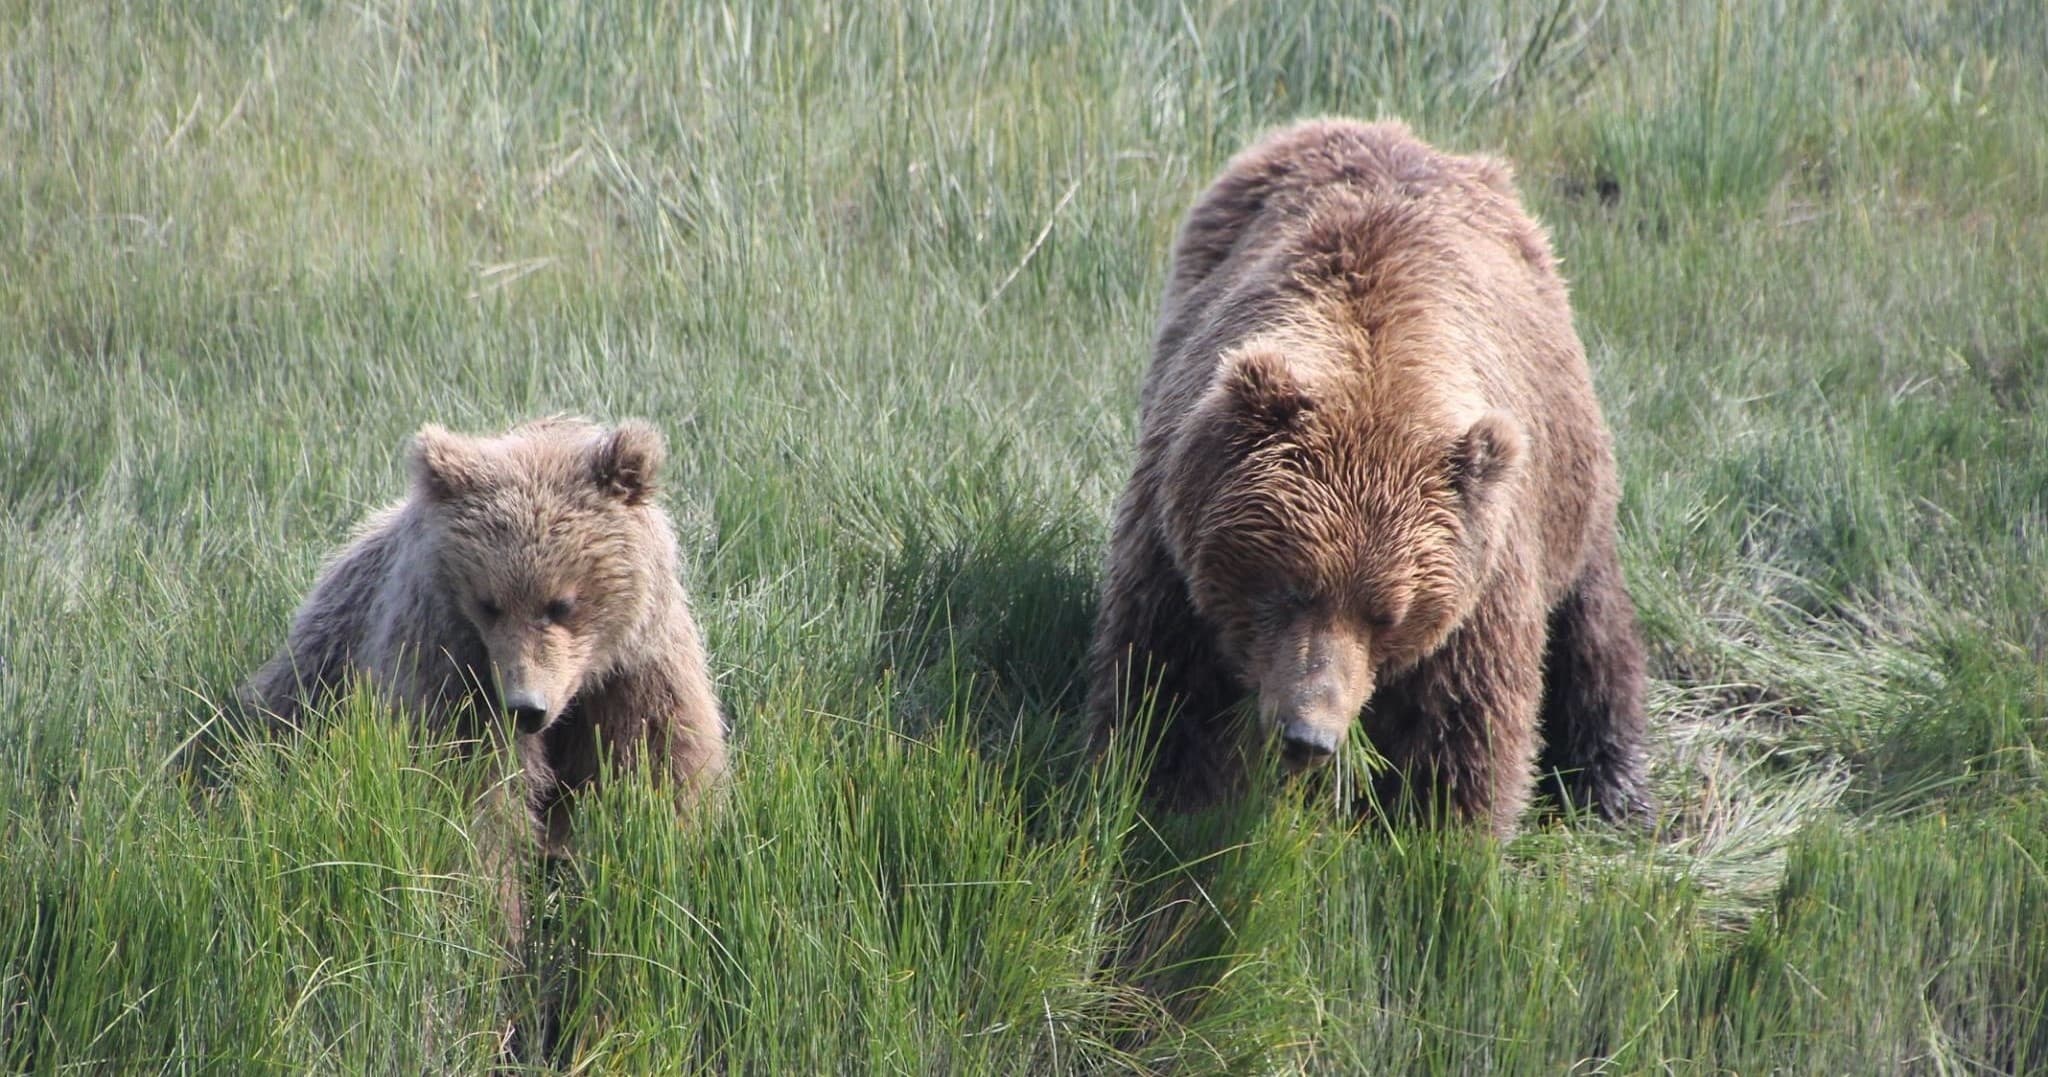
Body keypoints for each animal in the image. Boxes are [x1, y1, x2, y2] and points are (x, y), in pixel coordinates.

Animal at [241, 417, 728, 852]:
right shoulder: (454, 673)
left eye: (561, 604)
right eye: (488, 604)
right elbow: (473, 795)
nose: (526, 708)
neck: (581, 683)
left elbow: (661, 767)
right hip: (322, 673)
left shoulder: (637, 670)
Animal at [1085, 118, 1649, 834]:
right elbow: (1165, 691)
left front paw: (1441, 835)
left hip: (1572, 478)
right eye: (1288, 586)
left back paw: (1617, 787)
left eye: (1387, 614)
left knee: (1594, 626)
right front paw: (1159, 804)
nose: (1309, 736)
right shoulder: (1177, 542)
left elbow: (1463, 727)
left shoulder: (1479, 579)